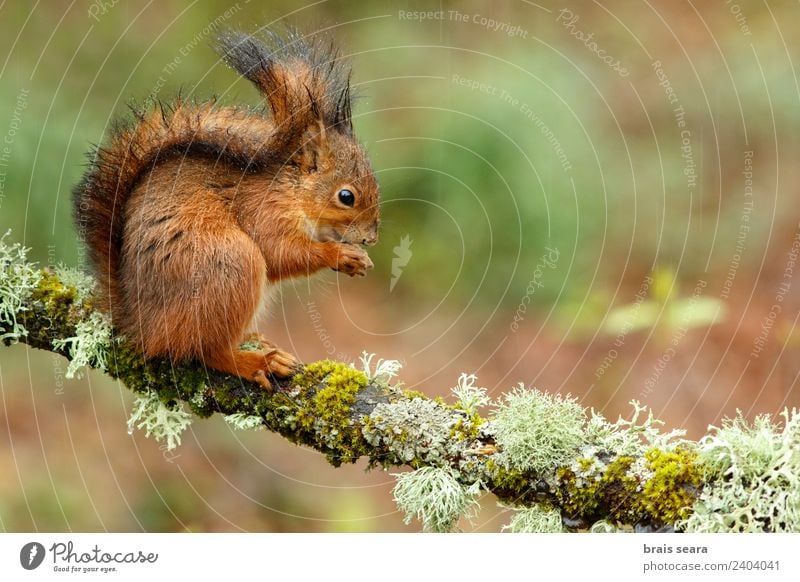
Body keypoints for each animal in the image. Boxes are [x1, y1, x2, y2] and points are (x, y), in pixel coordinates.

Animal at [72, 29, 382, 390]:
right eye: (346, 196)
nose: (372, 237)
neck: (290, 190)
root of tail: (141, 326)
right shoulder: (263, 211)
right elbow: (281, 253)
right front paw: (341, 255)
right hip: (227, 265)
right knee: (204, 351)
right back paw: (255, 362)